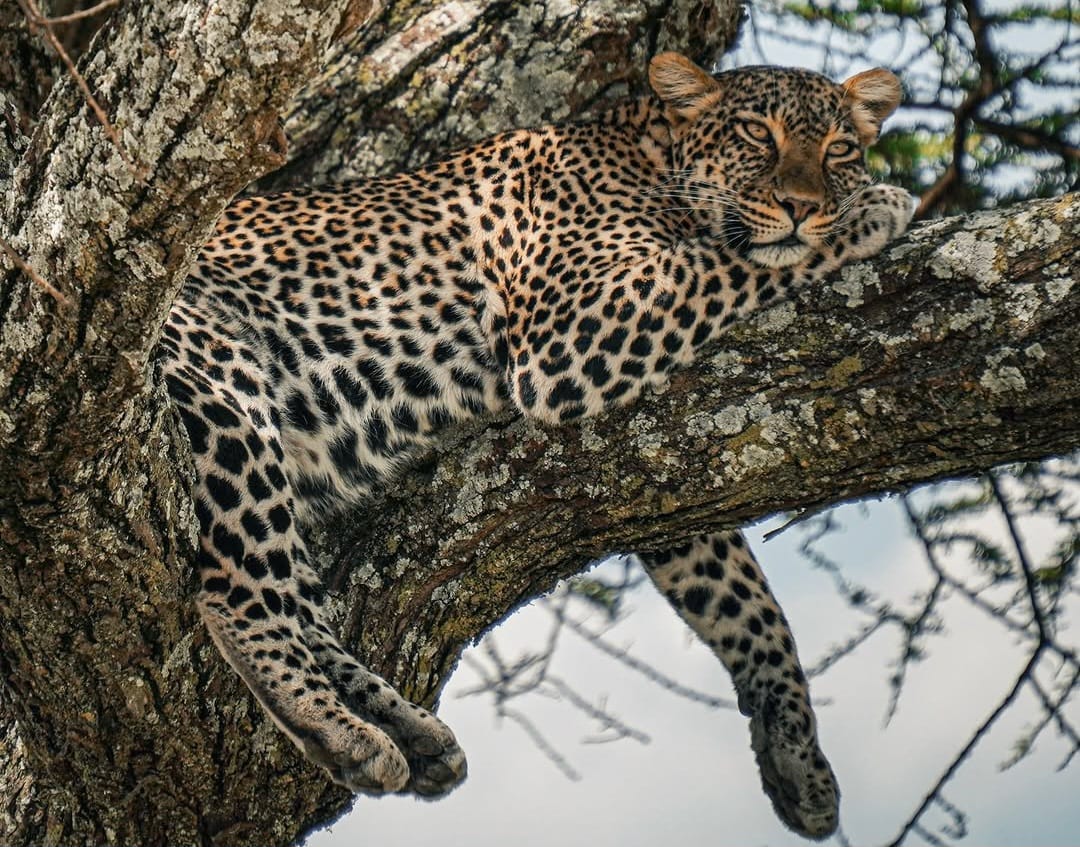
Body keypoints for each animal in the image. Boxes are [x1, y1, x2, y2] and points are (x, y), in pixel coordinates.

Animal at [158, 51, 914, 840]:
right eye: (756, 137)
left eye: (839, 150)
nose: (804, 205)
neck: (651, 155)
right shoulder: (572, 332)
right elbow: (732, 261)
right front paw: (874, 211)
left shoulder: (663, 461)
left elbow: (748, 605)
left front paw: (799, 756)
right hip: (217, 369)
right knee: (237, 587)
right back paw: (337, 727)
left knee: (301, 603)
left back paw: (407, 731)